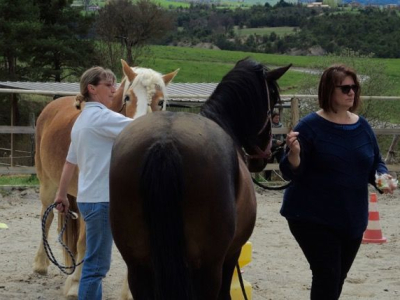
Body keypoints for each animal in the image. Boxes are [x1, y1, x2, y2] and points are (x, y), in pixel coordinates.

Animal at [32, 59, 179, 298]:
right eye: (127, 97)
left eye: (161, 101)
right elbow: (84, 242)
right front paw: (75, 285)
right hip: (49, 184)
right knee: (48, 216)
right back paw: (41, 265)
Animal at [109, 57, 290, 298]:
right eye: (274, 99)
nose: (265, 155)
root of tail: (165, 143)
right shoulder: (231, 255)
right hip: (208, 269)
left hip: (138, 267)